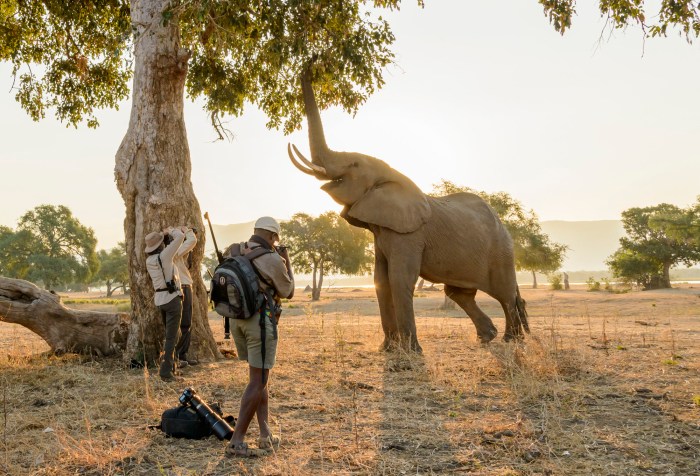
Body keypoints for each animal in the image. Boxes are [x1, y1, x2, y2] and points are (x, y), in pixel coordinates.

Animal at [287, 70, 529, 352]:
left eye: (354, 164)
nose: (310, 64)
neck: (391, 175)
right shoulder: (383, 232)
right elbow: (381, 280)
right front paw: (388, 350)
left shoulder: (410, 234)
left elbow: (399, 278)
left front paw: (412, 351)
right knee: (459, 293)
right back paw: (487, 337)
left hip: (501, 250)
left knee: (504, 294)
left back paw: (511, 339)